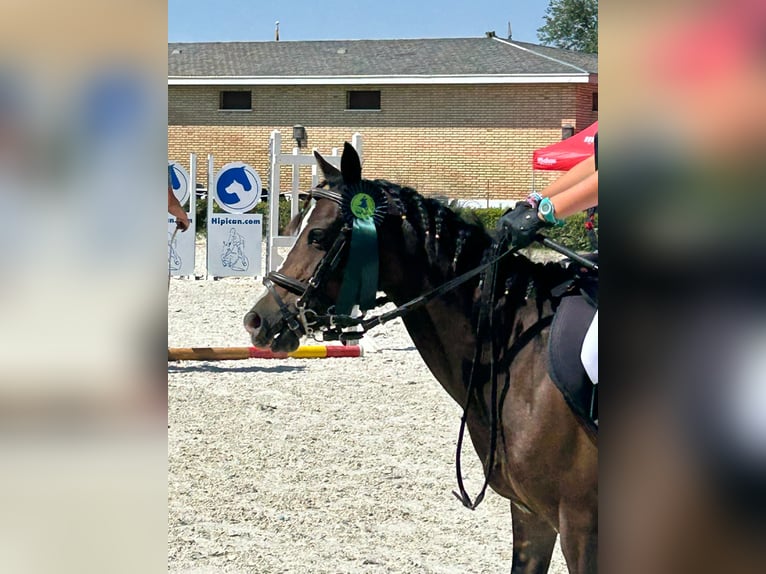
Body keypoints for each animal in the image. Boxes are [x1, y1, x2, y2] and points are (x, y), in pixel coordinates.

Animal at [244, 143, 597, 573]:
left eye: (317, 235)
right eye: (294, 227)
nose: (258, 320)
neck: (520, 350)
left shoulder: (581, 525)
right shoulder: (531, 516)